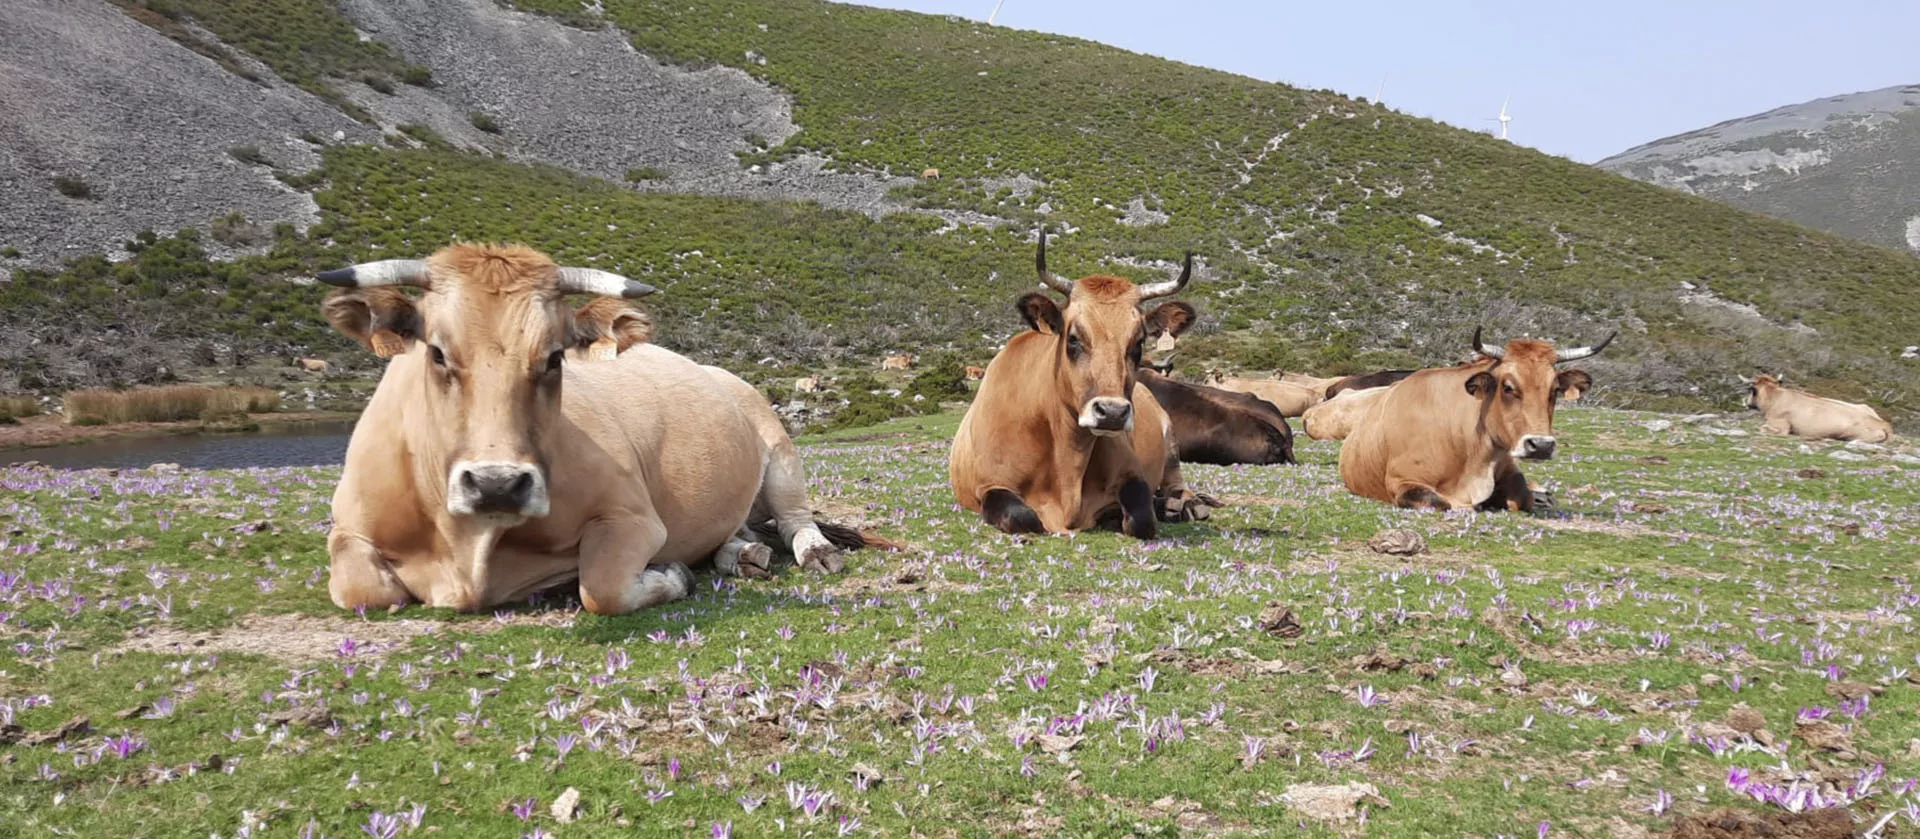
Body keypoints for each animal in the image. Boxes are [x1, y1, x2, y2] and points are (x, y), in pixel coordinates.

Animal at [318, 241, 879, 614]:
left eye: (553, 357)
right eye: (436, 352)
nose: (498, 484)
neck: (469, 549)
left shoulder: (634, 518)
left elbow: (602, 588)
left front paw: (672, 574)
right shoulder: (348, 529)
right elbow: (358, 589)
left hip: (780, 451)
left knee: (794, 519)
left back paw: (813, 552)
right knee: (737, 529)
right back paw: (742, 555)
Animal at [952, 225, 1205, 537]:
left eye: (1139, 342)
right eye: (1073, 338)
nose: (1112, 412)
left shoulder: (1132, 473)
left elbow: (1142, 518)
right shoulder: (990, 485)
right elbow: (1022, 517)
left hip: (1170, 442)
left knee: (1175, 482)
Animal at [1344, 324, 1612, 510]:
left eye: (1554, 389)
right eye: (1507, 387)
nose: (1541, 445)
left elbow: (1521, 498)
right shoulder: (1401, 480)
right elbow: (1442, 502)